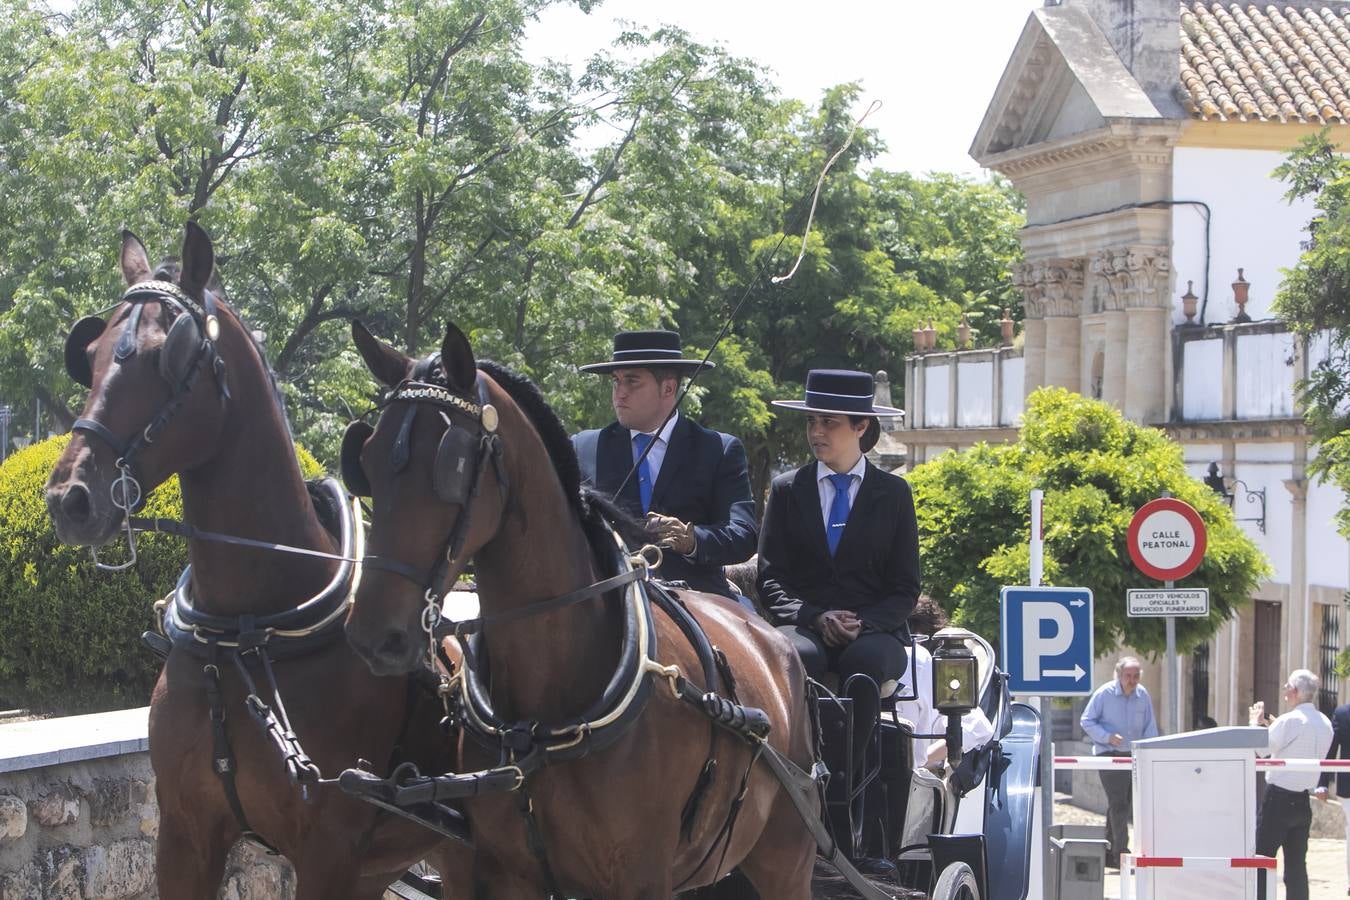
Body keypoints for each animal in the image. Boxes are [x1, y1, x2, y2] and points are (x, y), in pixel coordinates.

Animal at [44, 223, 467, 895]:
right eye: (92, 352)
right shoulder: (184, 835)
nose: (70, 499)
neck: (243, 633)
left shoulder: (329, 853)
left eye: (169, 356)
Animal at [342, 319, 815, 895]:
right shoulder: (506, 872)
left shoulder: (641, 876)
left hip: (787, 859)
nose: (374, 635)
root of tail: (771, 640)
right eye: (364, 461)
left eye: (451, 464)